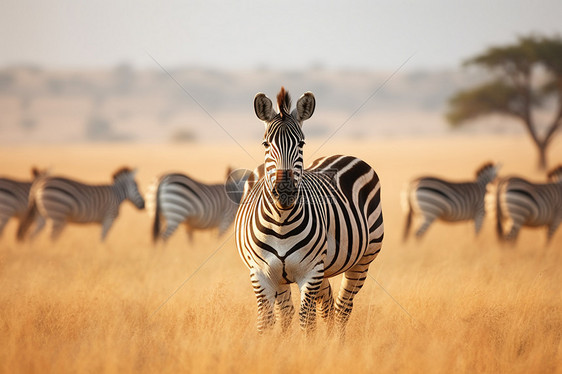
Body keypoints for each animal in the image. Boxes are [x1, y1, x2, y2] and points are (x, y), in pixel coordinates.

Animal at [234, 87, 382, 334]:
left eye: (301, 144)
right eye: (266, 144)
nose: (285, 191)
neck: (281, 221)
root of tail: (339, 155)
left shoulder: (310, 273)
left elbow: (307, 322)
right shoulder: (261, 274)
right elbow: (267, 322)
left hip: (363, 259)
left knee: (342, 308)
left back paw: (336, 341)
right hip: (301, 274)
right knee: (306, 308)